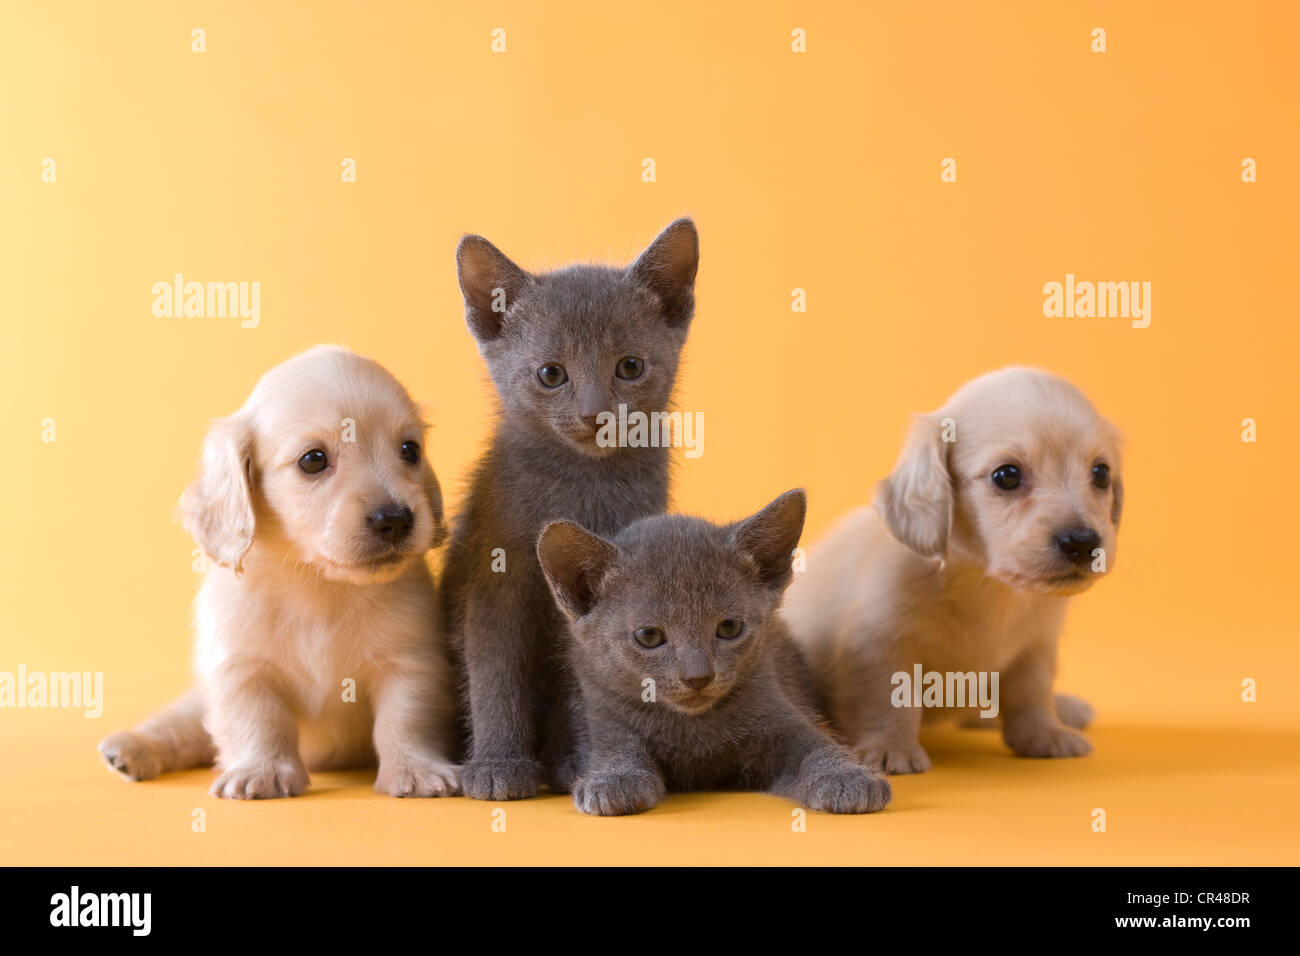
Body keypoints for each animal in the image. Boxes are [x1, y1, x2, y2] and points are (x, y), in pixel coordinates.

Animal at [98, 348, 460, 796]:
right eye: (314, 460)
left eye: (410, 450)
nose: (394, 519)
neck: (319, 585)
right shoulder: (241, 667)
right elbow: (258, 721)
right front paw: (263, 770)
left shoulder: (410, 661)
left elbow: (406, 719)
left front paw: (416, 769)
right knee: (179, 727)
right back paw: (132, 748)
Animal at [439, 217, 702, 801]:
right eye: (551, 374)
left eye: (630, 366)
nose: (594, 414)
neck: (582, 484)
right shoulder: (493, 583)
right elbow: (493, 672)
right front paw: (499, 765)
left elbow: (586, 683)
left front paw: (579, 762)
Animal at [533, 494, 889, 816]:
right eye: (649, 636)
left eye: (729, 627)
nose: (698, 677)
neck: (692, 732)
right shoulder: (600, 716)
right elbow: (614, 749)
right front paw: (615, 779)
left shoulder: (785, 715)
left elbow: (817, 747)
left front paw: (847, 777)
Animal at [780, 369, 1128, 775]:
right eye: (1007, 475)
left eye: (1101, 474)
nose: (1083, 543)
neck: (986, 584)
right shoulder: (879, 642)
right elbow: (886, 698)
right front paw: (890, 747)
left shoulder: (1037, 642)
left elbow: (1032, 689)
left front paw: (1044, 733)